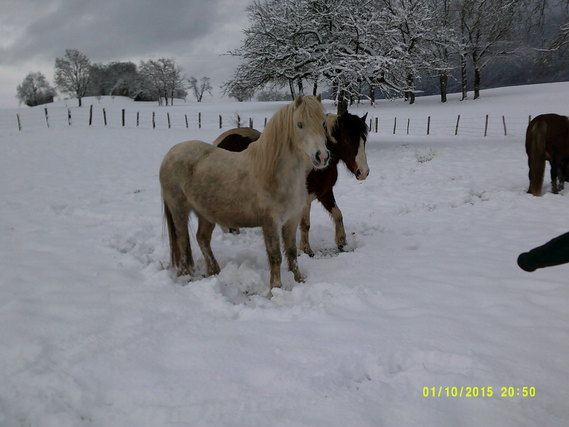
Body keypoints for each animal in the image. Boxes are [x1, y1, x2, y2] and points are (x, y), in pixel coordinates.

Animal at [159, 95, 329, 291]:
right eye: (299, 124)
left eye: (323, 123)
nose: (322, 156)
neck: (275, 174)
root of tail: (170, 154)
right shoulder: (270, 223)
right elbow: (275, 256)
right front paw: (275, 289)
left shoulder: (291, 220)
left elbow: (292, 253)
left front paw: (299, 280)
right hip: (179, 210)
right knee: (182, 240)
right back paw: (186, 276)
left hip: (206, 213)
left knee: (202, 238)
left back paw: (214, 271)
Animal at [213, 111, 370, 256]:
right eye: (347, 139)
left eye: (364, 140)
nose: (363, 172)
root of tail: (219, 142)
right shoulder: (304, 198)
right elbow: (305, 224)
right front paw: (306, 250)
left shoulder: (324, 192)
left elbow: (338, 214)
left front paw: (342, 243)